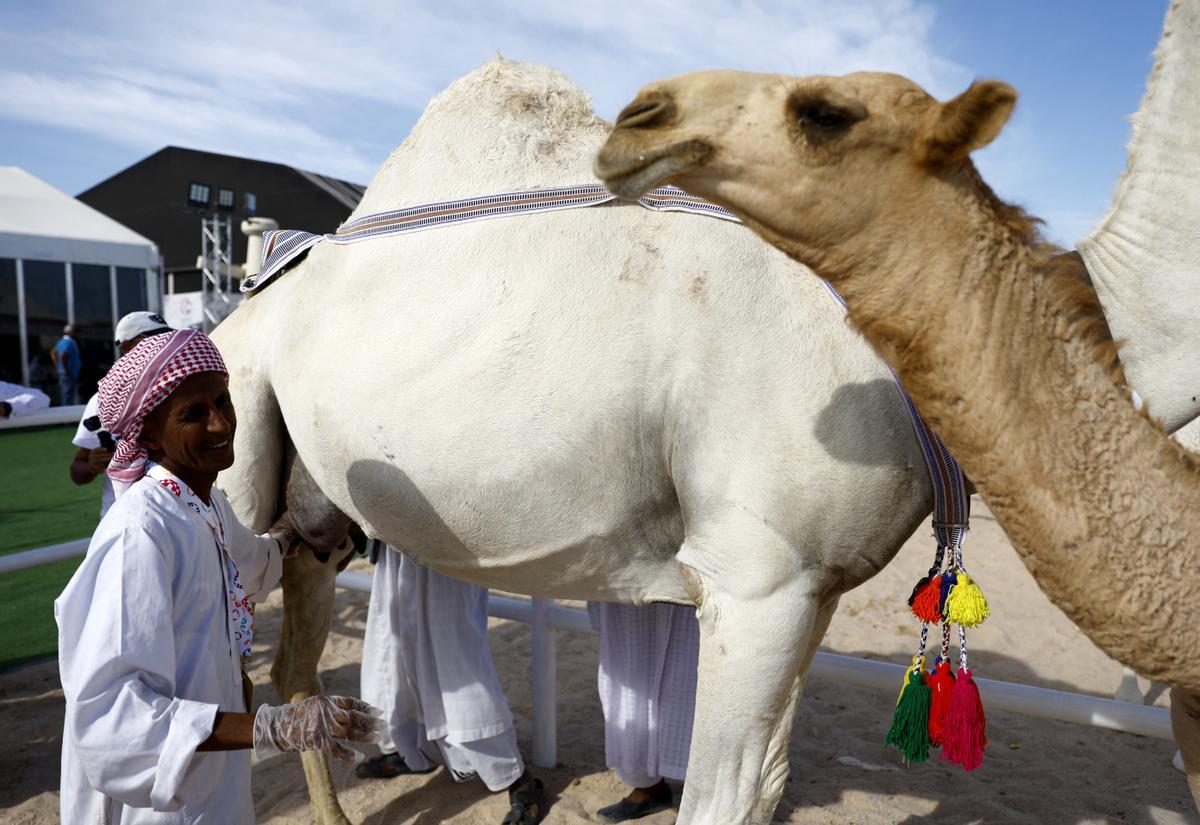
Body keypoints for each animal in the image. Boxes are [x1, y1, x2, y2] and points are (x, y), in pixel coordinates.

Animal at [213, 59, 936, 825]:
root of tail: (235, 314)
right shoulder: (761, 580)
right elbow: (725, 795)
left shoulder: (816, 585)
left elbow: (766, 784)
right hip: (237, 428)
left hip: (315, 511)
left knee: (291, 659)